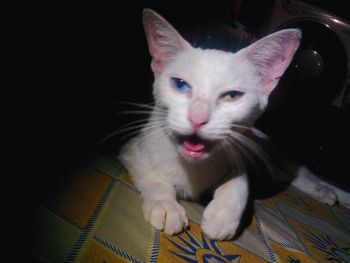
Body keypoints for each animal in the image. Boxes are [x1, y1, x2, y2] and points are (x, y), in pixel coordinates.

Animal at [118, 8, 350, 241]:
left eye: (232, 95)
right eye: (180, 84)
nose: (198, 118)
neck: (193, 167)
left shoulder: (240, 154)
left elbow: (240, 183)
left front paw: (223, 215)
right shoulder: (131, 149)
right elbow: (152, 176)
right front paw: (165, 204)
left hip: (272, 152)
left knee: (302, 174)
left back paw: (329, 192)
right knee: (284, 177)